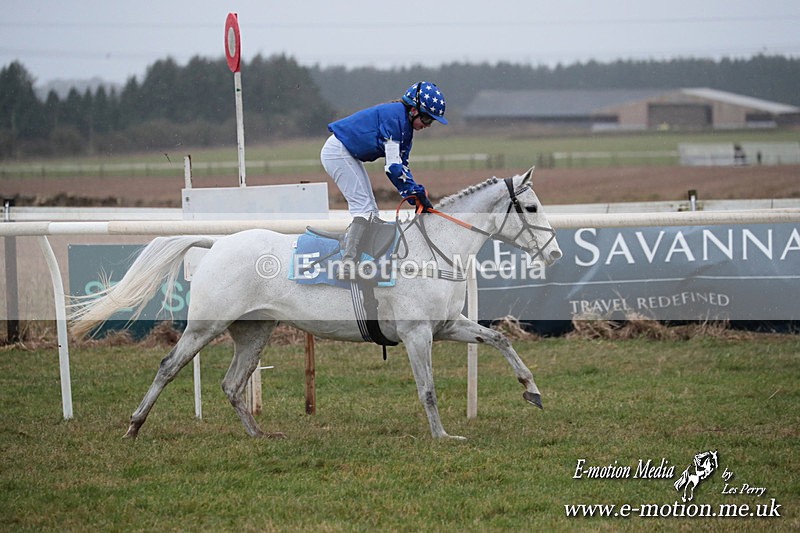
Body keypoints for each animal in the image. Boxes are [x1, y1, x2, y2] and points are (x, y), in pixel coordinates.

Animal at [70, 168, 562, 440]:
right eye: (532, 208)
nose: (556, 253)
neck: (434, 250)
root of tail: (218, 243)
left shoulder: (446, 326)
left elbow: (498, 338)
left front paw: (532, 389)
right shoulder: (416, 333)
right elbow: (428, 388)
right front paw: (443, 435)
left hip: (255, 329)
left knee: (232, 383)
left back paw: (260, 434)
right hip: (206, 325)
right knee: (169, 365)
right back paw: (134, 424)